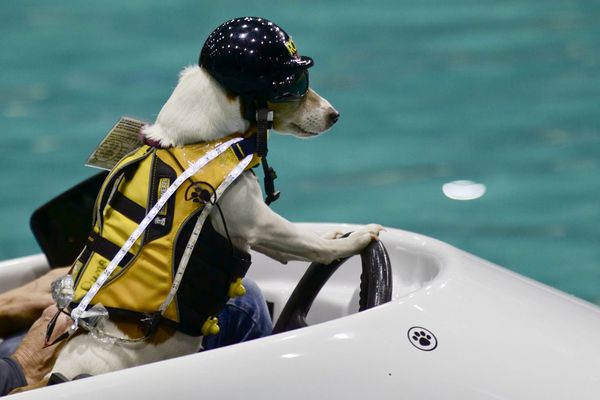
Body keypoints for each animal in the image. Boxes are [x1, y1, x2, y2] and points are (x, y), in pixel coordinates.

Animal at [49, 64, 382, 380]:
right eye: (297, 89)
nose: (335, 115)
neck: (201, 140)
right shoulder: (260, 224)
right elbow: (312, 246)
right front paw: (357, 239)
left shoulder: (255, 236)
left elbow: (308, 242)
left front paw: (336, 234)